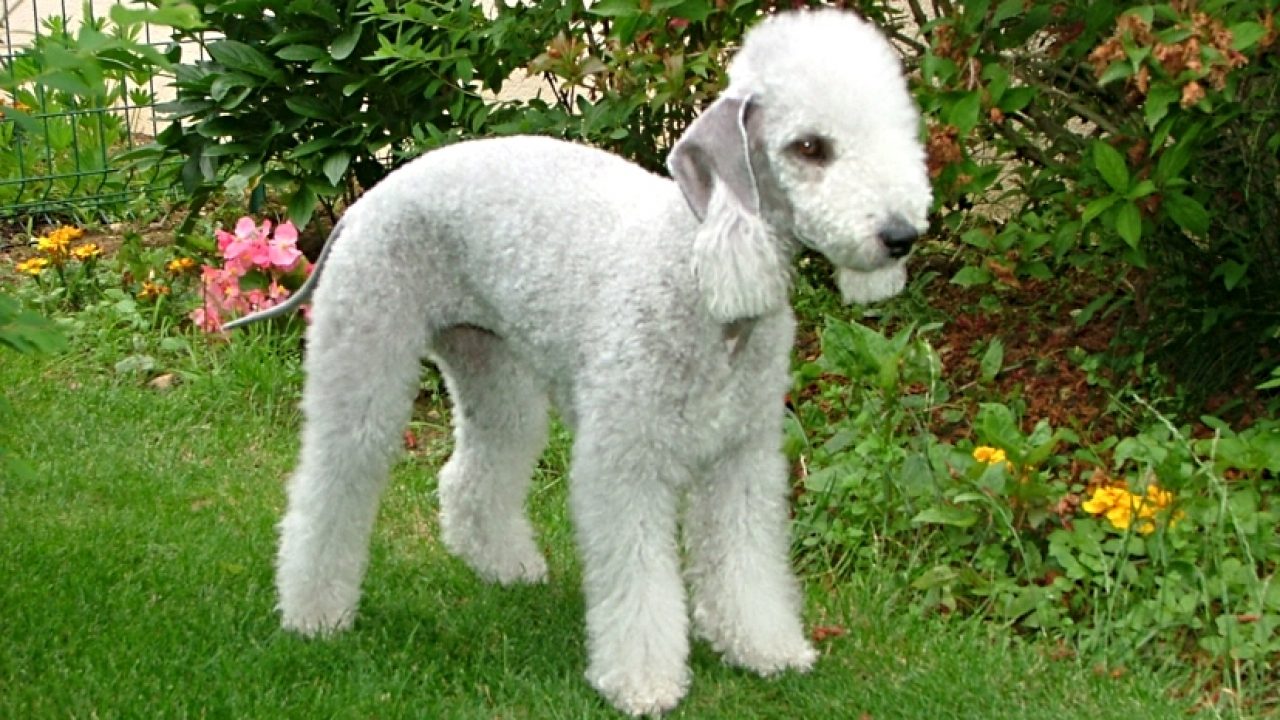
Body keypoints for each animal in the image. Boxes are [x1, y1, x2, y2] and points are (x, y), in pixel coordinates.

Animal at [230, 8, 931, 712]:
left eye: (895, 131)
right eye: (809, 147)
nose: (901, 236)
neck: (697, 274)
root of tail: (368, 199)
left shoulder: (743, 456)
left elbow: (746, 563)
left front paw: (764, 647)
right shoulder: (624, 460)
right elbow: (639, 580)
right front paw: (643, 683)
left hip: (493, 367)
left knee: (472, 472)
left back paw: (504, 565)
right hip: (365, 353)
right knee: (328, 484)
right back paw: (314, 613)